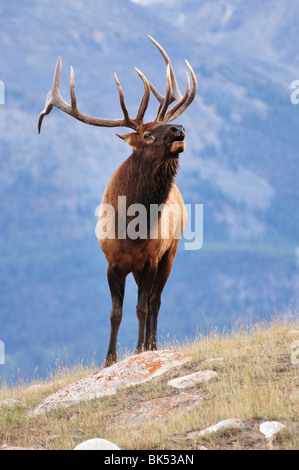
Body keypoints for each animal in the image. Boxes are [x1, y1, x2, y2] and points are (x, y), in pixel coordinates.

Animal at [38, 36, 198, 368]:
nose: (179, 129)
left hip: (171, 251)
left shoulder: (150, 260)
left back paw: (151, 344)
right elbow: (115, 313)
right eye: (147, 134)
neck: (130, 230)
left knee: (156, 301)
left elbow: (142, 308)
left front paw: (139, 350)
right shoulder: (112, 263)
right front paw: (109, 359)